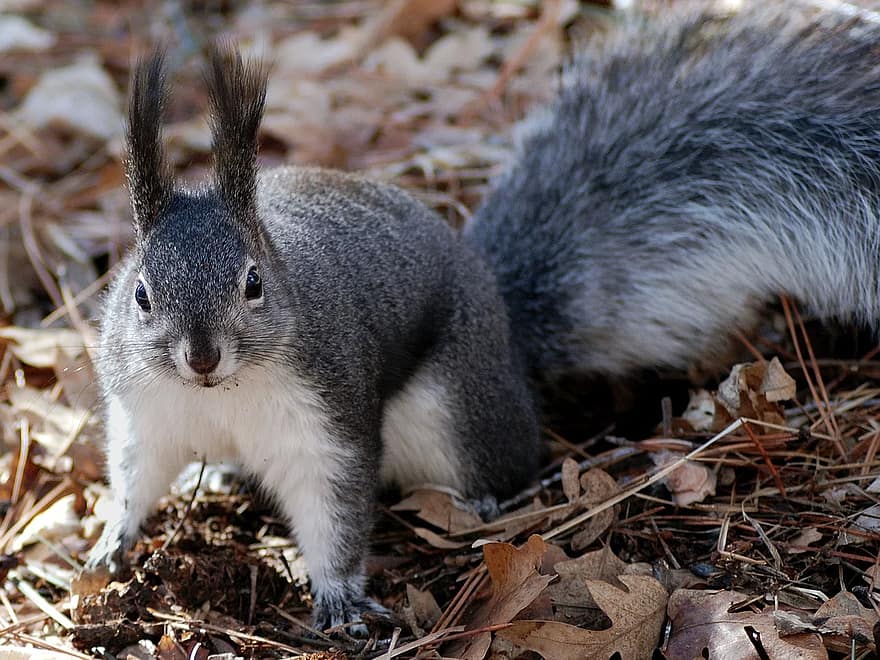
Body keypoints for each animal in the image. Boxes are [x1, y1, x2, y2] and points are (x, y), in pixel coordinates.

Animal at [86, 2, 880, 636]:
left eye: (254, 282)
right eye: (140, 293)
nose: (201, 355)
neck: (219, 396)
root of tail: (501, 319)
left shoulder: (326, 418)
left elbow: (334, 510)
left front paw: (339, 597)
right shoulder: (145, 413)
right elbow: (136, 476)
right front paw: (110, 542)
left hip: (456, 409)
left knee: (505, 453)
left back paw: (491, 498)